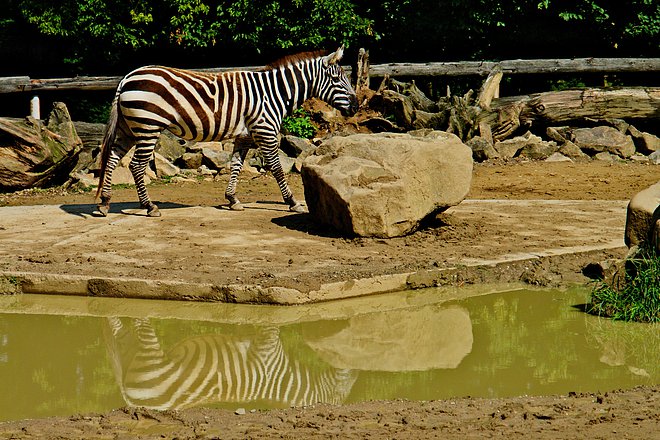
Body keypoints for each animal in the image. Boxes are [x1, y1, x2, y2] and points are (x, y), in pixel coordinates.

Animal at [94, 46, 356, 217]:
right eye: (337, 79)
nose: (355, 107)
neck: (274, 92)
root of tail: (126, 78)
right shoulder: (265, 130)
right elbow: (277, 168)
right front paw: (292, 202)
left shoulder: (245, 135)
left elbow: (237, 165)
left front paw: (232, 200)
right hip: (148, 126)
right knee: (136, 165)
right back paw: (149, 207)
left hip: (130, 127)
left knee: (113, 158)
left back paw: (105, 203)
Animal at [105, 318, 358, 410]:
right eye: (346, 387)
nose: (357, 371)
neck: (284, 381)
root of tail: (131, 401)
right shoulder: (267, 345)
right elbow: (272, 326)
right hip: (151, 358)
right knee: (140, 324)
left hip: (132, 354)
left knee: (117, 331)